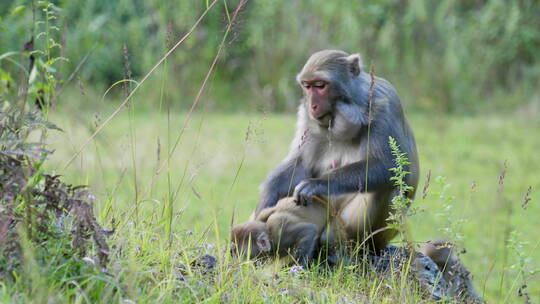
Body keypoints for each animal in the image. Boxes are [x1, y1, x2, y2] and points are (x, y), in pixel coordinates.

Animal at [255, 49, 420, 249]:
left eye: (320, 85)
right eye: (307, 86)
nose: (312, 105)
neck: (357, 102)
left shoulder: (385, 105)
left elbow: (391, 165)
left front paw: (317, 184)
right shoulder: (307, 118)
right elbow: (301, 164)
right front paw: (267, 195)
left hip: (362, 230)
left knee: (387, 185)